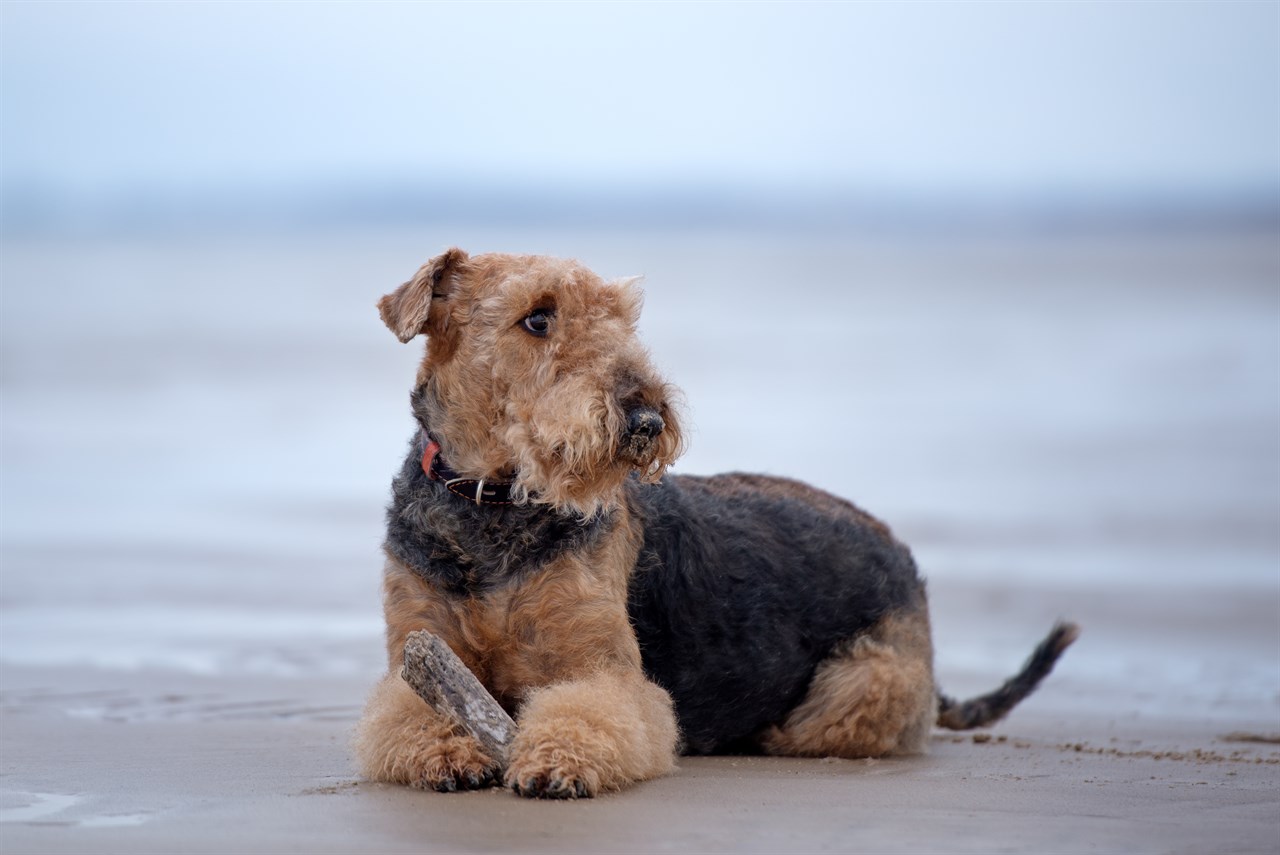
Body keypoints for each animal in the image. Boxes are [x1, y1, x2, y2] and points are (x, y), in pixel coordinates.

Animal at [348, 250, 1070, 798]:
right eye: (538, 317)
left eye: (621, 317)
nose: (645, 418)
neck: (493, 504)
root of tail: (907, 561)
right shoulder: (417, 650)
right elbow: (405, 711)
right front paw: (447, 752)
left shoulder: (604, 674)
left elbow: (587, 714)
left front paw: (555, 763)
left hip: (860, 686)